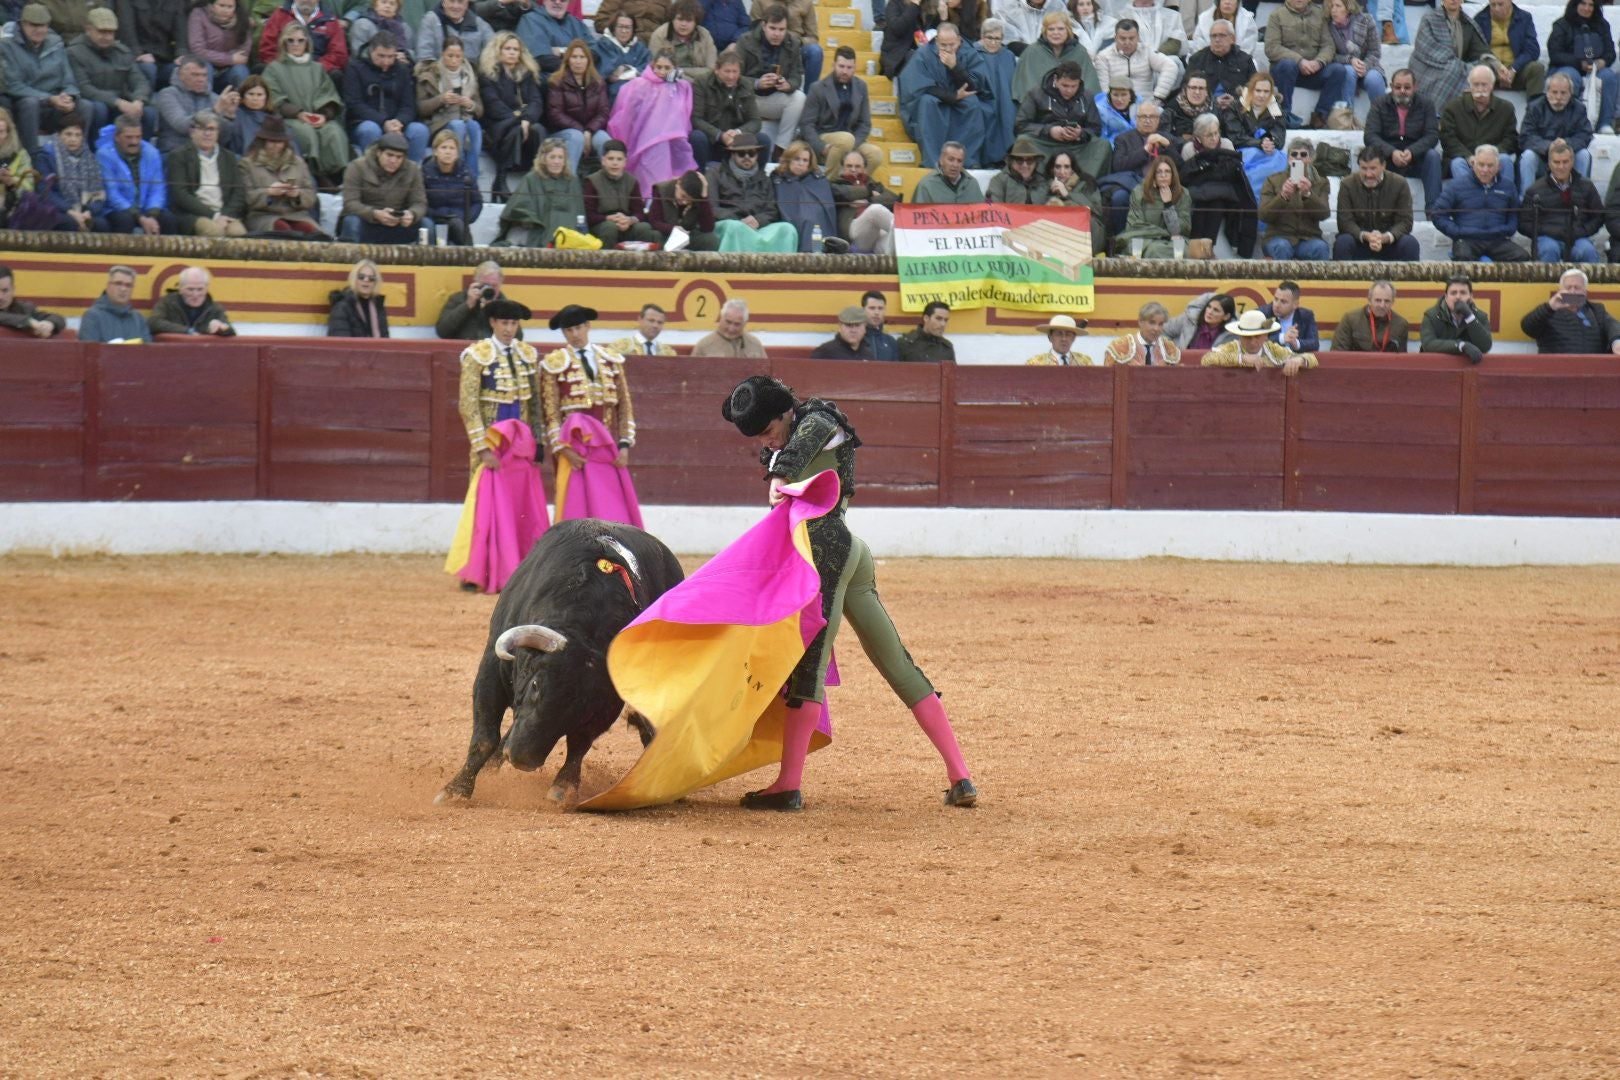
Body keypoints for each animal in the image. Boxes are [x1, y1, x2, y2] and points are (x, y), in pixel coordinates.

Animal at [437, 518, 683, 806]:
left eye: (583, 708)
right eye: (535, 685)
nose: (523, 759)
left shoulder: (606, 705)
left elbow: (579, 744)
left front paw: (563, 789)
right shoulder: (491, 670)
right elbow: (485, 737)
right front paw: (455, 790)